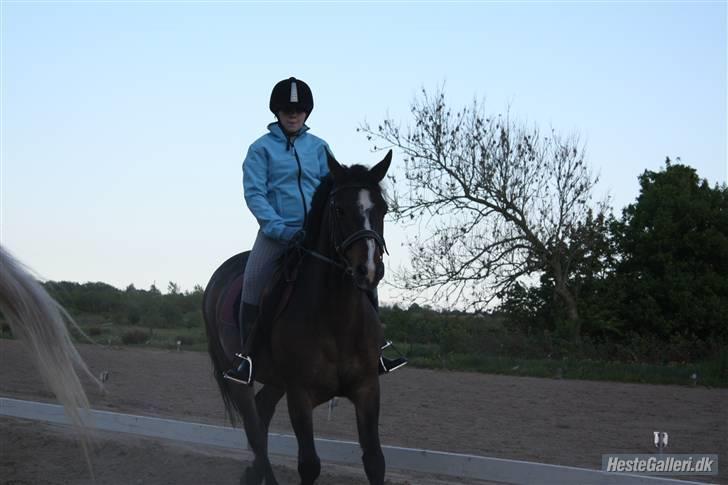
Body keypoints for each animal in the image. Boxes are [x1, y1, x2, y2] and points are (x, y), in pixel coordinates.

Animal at [203, 150, 392, 485]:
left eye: (382, 209)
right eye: (339, 209)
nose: (369, 270)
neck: (338, 319)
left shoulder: (367, 388)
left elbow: (374, 461)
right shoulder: (300, 395)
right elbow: (309, 464)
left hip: (276, 381)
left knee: (262, 417)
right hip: (239, 378)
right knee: (255, 431)